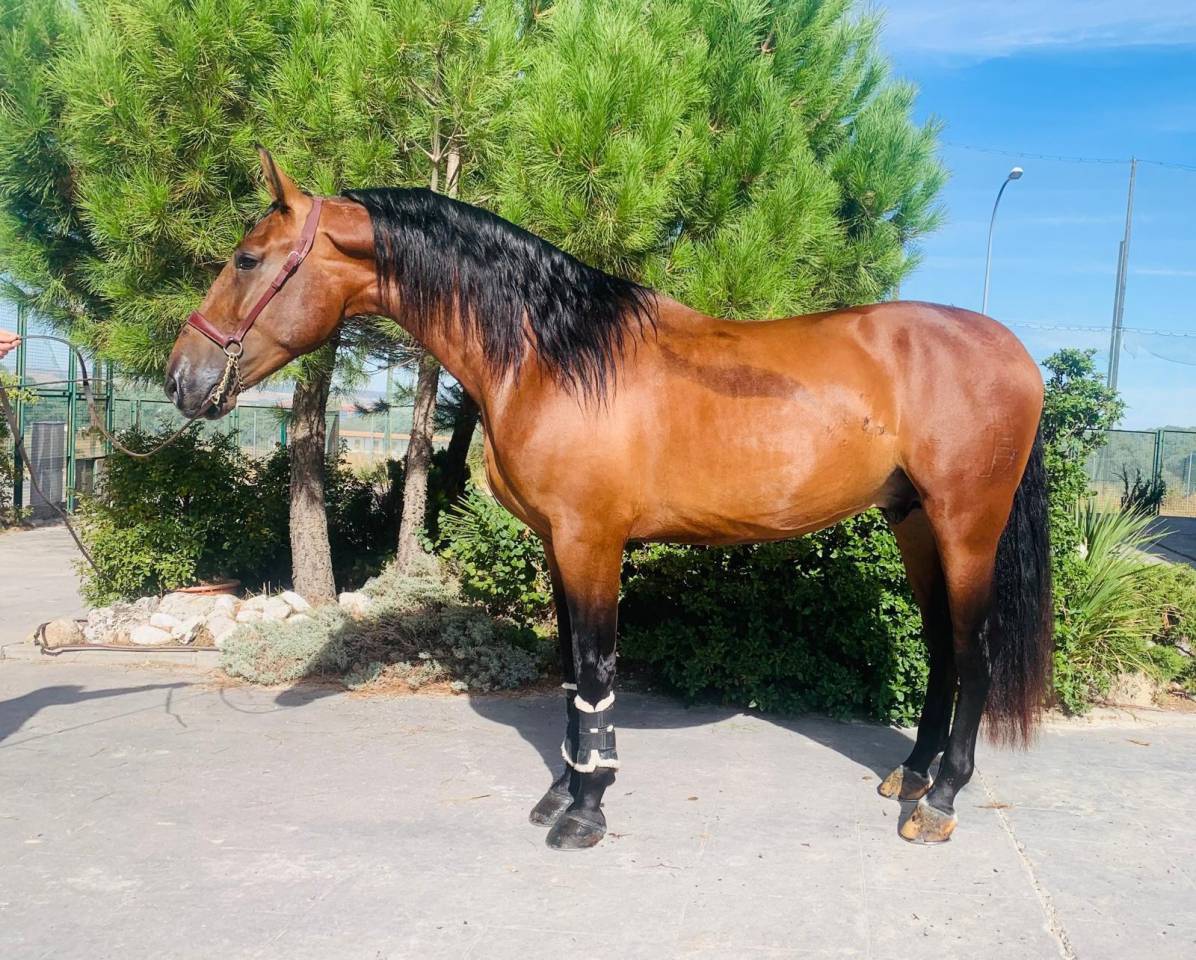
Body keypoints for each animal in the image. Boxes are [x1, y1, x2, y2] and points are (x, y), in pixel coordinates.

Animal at [167, 149, 1052, 850]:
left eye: (247, 259)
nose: (182, 379)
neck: (552, 354)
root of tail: (1013, 350)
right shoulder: (557, 544)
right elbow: (568, 673)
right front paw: (561, 790)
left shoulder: (590, 541)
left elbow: (594, 670)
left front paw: (585, 810)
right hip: (912, 521)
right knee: (941, 646)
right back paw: (910, 776)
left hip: (965, 526)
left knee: (973, 651)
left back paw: (940, 801)